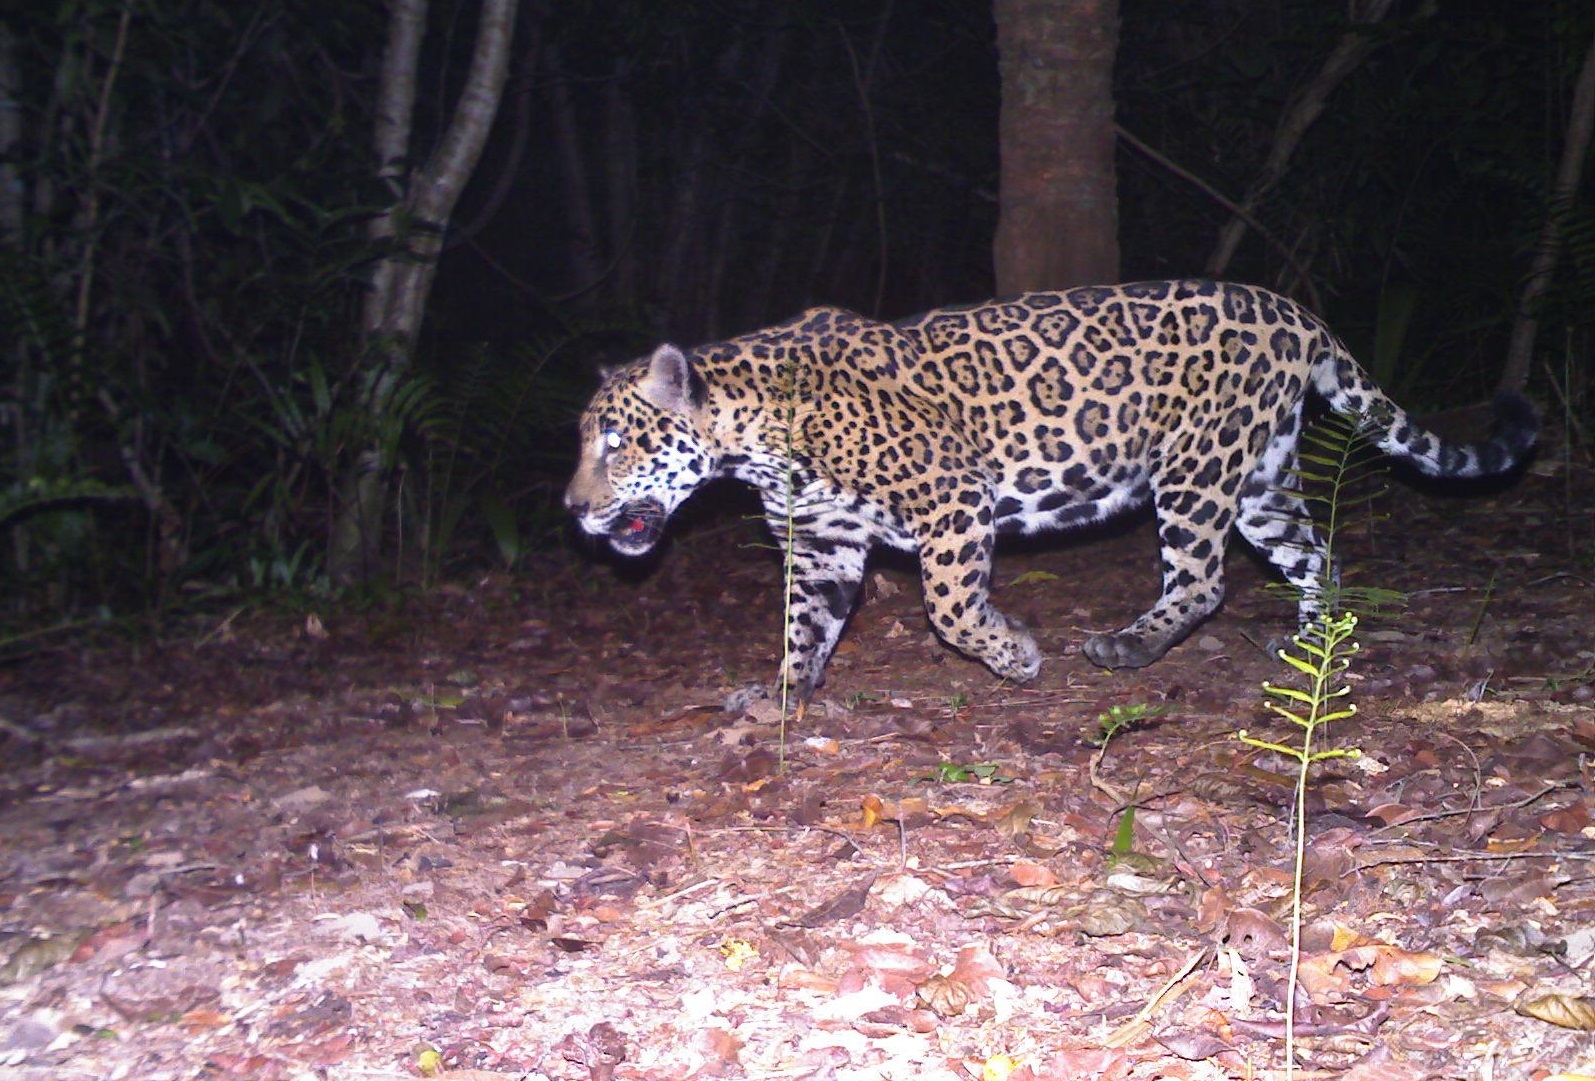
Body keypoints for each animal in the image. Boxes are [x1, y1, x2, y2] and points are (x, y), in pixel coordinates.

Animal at [564, 279, 1537, 703]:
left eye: (615, 441)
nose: (573, 509)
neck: (756, 438)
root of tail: (1293, 310)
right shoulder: (824, 543)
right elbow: (805, 624)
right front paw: (784, 691)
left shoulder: (951, 501)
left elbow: (949, 608)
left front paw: (1013, 655)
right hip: (1260, 479)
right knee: (1317, 558)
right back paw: (1308, 647)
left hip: (1195, 467)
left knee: (1202, 579)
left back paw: (1127, 646)